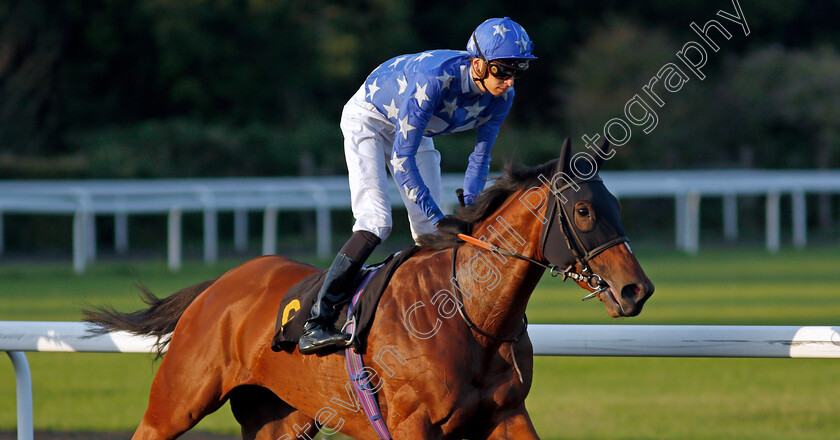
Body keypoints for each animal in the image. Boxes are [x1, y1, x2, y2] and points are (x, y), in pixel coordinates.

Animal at [85, 138, 652, 440]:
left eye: (618, 205)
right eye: (584, 211)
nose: (636, 290)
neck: (469, 312)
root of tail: (219, 286)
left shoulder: (507, 413)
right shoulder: (413, 424)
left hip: (282, 420)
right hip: (176, 403)